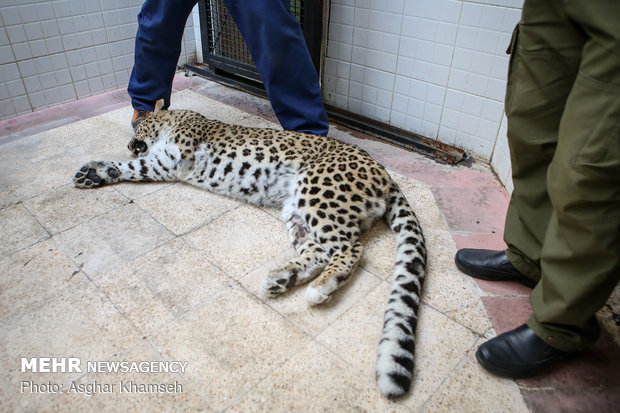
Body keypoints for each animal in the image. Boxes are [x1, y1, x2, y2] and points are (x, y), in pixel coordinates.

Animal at [74, 100, 426, 396]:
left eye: (139, 127)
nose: (130, 143)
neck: (176, 119)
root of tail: (382, 170)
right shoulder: (164, 163)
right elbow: (132, 167)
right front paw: (94, 172)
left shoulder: (176, 158)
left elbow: (139, 164)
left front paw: (104, 165)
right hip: (295, 210)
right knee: (318, 252)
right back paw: (282, 279)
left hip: (317, 194)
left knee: (351, 248)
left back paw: (321, 287)